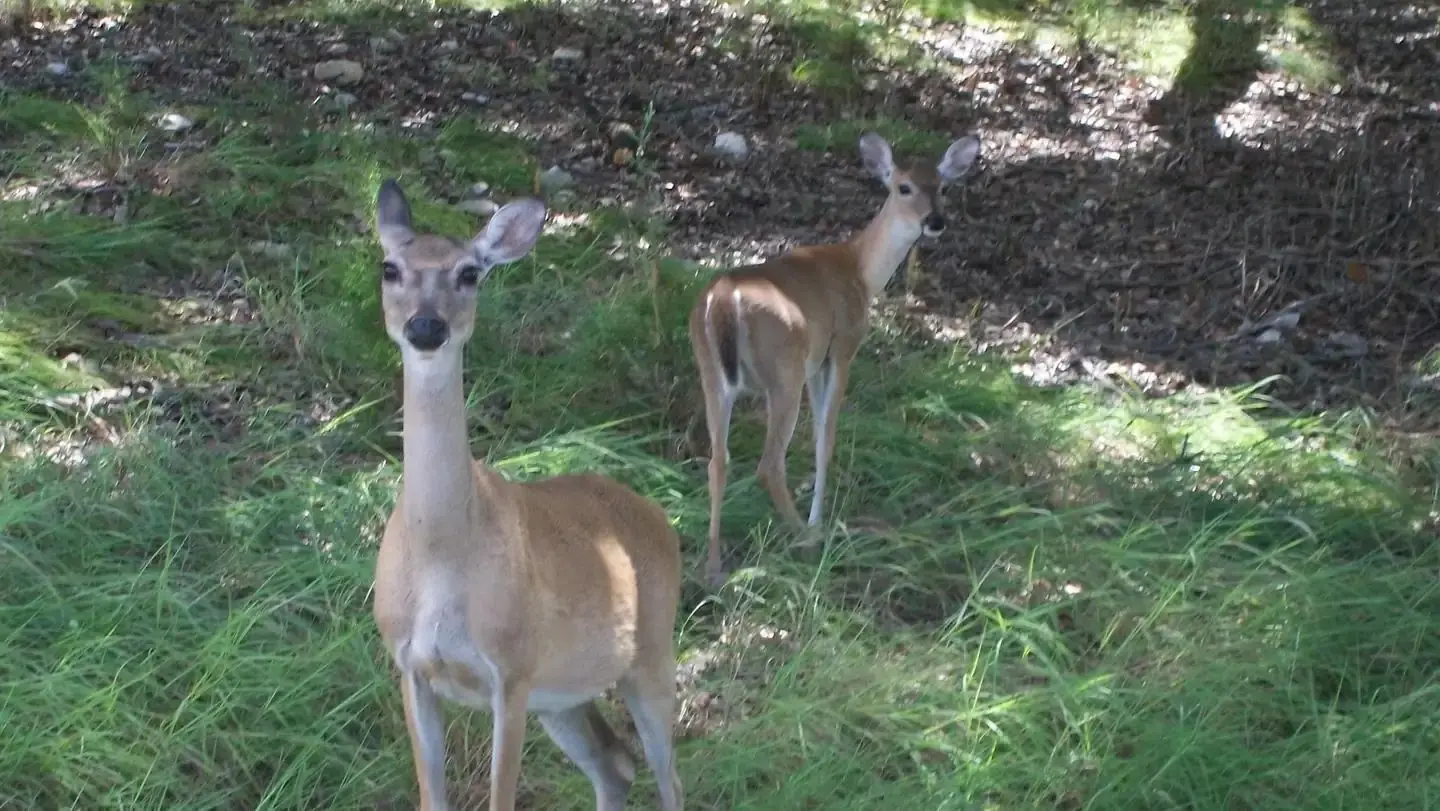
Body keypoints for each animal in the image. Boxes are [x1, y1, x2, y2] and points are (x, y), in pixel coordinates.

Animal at [369, 179, 684, 811]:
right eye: (390, 267)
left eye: (470, 273)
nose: (425, 326)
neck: (443, 557)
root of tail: (657, 517)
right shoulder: (410, 667)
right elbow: (432, 797)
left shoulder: (511, 670)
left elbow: (501, 798)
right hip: (562, 694)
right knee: (615, 763)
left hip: (651, 653)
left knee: (669, 779)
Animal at [688, 131, 982, 587]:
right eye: (903, 187)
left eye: (944, 187)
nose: (935, 221)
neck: (859, 268)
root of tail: (723, 299)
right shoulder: (841, 347)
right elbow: (827, 437)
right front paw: (817, 518)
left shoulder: (815, 363)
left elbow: (817, 435)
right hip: (783, 369)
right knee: (768, 464)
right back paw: (804, 537)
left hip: (713, 372)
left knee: (718, 461)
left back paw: (714, 567)